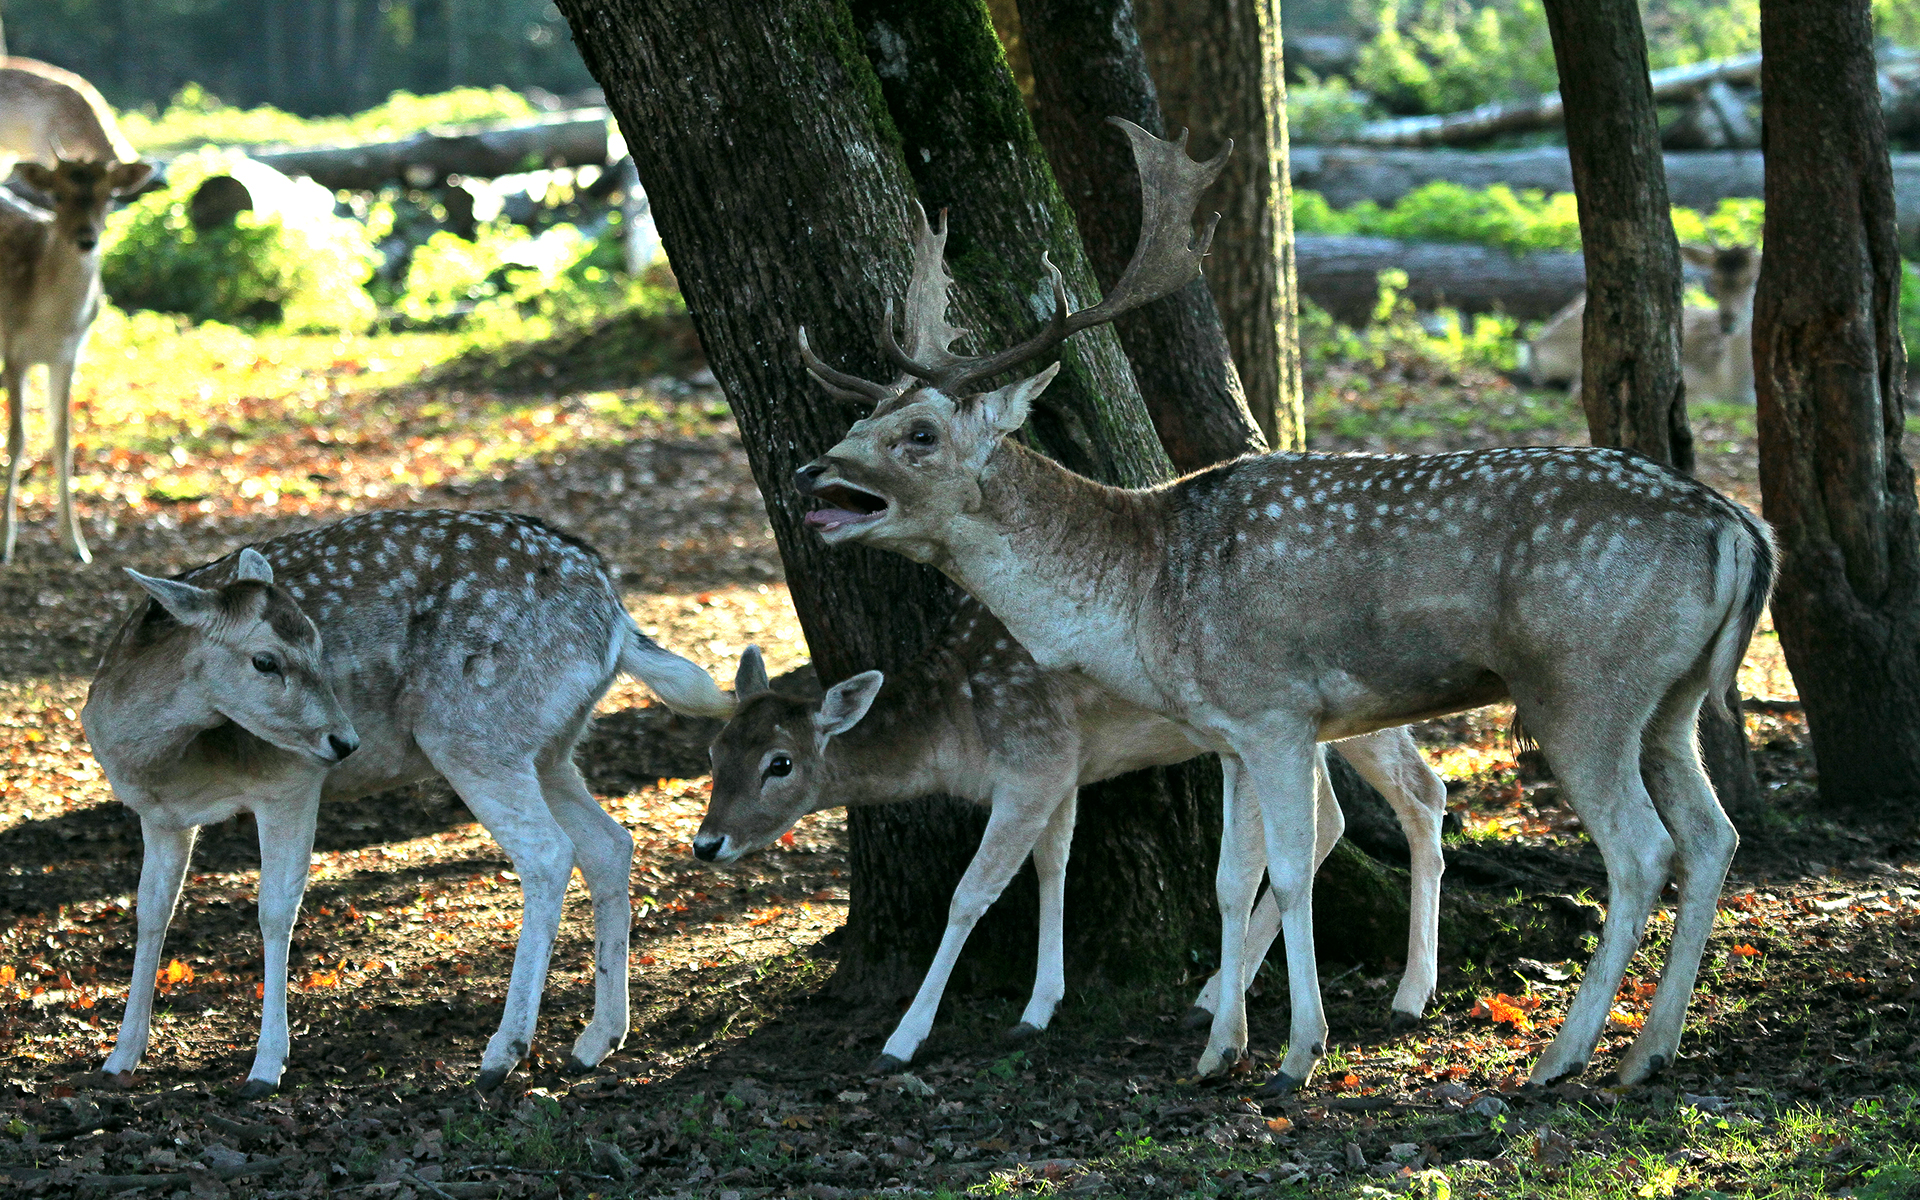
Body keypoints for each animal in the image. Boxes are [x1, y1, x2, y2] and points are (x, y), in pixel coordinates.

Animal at [2, 153, 153, 560]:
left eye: (110, 196)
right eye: (55, 195)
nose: (86, 239)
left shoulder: (67, 357)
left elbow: (63, 437)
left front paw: (76, 543)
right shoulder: (14, 352)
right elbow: (18, 439)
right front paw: (5, 544)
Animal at [80, 506, 733, 1098]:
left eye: (318, 643)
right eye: (265, 659)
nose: (344, 741)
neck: (160, 761)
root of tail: (615, 616)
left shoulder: (288, 780)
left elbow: (274, 911)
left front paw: (266, 1068)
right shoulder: (159, 815)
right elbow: (151, 913)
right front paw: (121, 1057)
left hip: (472, 732)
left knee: (550, 854)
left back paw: (503, 1054)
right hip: (548, 745)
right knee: (610, 843)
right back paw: (598, 1039)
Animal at [698, 602, 1443, 1075]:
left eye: (780, 764)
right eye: (716, 749)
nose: (707, 844)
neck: (959, 730)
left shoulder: (1034, 762)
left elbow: (970, 895)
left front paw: (902, 1039)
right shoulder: (1060, 767)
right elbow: (1052, 864)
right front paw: (1038, 1007)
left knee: (1421, 792)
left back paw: (1409, 996)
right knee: (1338, 815)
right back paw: (1212, 995)